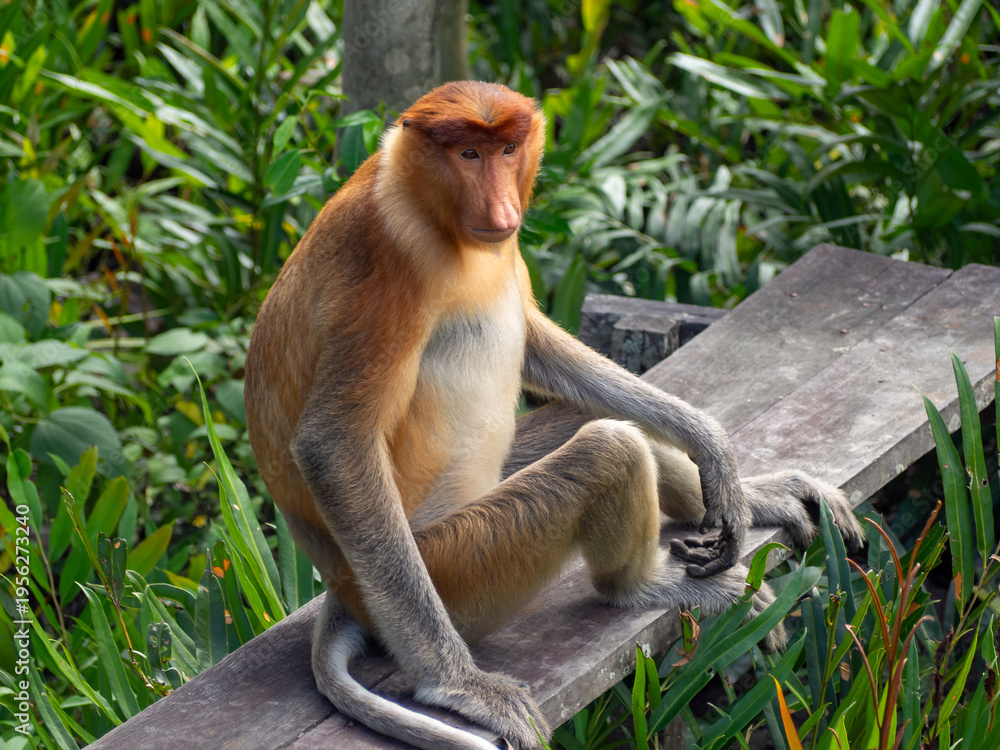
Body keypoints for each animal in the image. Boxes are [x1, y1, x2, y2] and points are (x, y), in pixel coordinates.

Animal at [243, 81, 864, 750]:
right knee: (607, 449)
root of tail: (343, 589)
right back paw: (646, 587)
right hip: (457, 566)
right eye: (467, 154)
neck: (426, 207)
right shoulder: (381, 263)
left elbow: (537, 344)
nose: (502, 209)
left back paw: (757, 499)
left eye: (508, 149)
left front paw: (714, 450)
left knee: (596, 424)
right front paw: (462, 687)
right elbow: (334, 444)